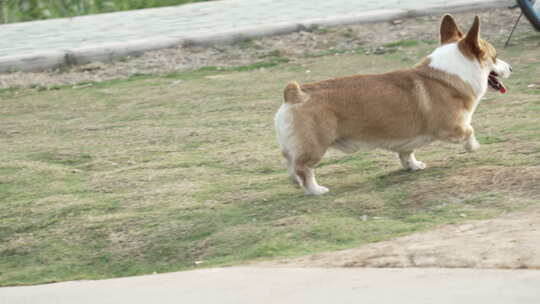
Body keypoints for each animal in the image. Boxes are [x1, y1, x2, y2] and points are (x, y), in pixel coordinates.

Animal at [274, 14, 510, 195]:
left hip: (295, 146)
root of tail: (295, 94)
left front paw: (413, 166)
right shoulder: (452, 127)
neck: (453, 72)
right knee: (304, 169)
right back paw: (316, 190)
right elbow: (470, 131)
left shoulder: (406, 139)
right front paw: (473, 147)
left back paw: (296, 182)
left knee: (291, 163)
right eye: (495, 57)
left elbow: (407, 153)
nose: (511, 68)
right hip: (315, 147)